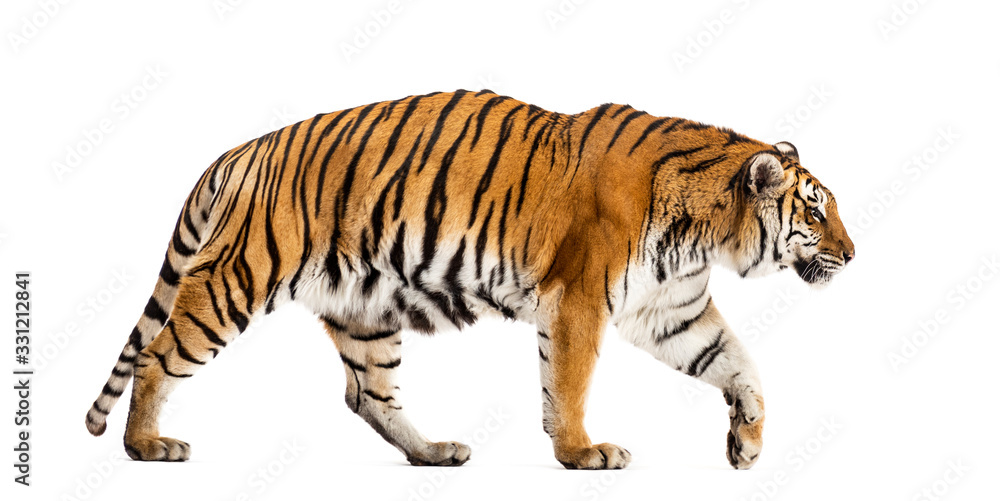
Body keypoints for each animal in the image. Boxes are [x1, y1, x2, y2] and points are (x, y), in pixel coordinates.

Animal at [85, 89, 854, 470]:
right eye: (816, 210)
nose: (853, 254)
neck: (705, 233)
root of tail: (243, 149)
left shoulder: (671, 310)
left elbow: (739, 363)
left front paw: (746, 443)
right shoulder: (578, 298)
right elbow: (569, 380)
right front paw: (582, 452)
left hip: (365, 308)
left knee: (366, 394)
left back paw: (432, 453)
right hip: (239, 276)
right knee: (158, 355)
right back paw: (147, 446)